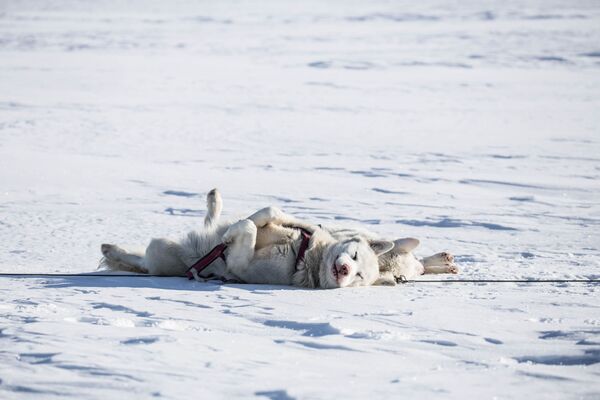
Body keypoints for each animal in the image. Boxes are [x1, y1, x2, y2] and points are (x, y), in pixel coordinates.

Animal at [102, 188, 460, 288]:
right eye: (356, 258)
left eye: (359, 277)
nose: (344, 272)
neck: (304, 254)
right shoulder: (298, 224)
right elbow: (267, 213)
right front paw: (248, 222)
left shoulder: (245, 267)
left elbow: (244, 235)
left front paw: (236, 234)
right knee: (211, 222)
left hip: (162, 252)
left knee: (143, 261)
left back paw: (112, 250)